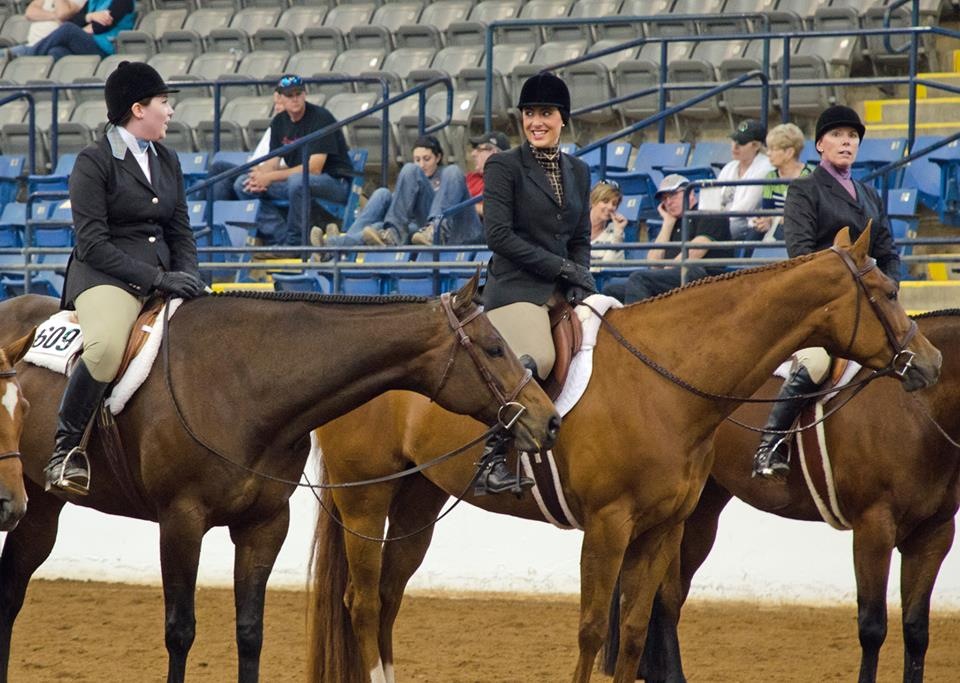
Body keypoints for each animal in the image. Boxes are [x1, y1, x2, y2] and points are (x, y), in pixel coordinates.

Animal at [0, 276, 560, 683]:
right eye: (493, 348)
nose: (548, 420)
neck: (244, 384)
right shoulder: (180, 521)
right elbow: (180, 630)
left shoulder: (265, 524)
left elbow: (251, 631)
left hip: (40, 507)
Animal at [612, 312, 960, 683]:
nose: (929, 367)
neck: (917, 410)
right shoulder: (874, 527)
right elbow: (872, 627)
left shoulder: (935, 533)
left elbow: (916, 629)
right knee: (665, 597)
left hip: (702, 511)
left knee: (672, 595)